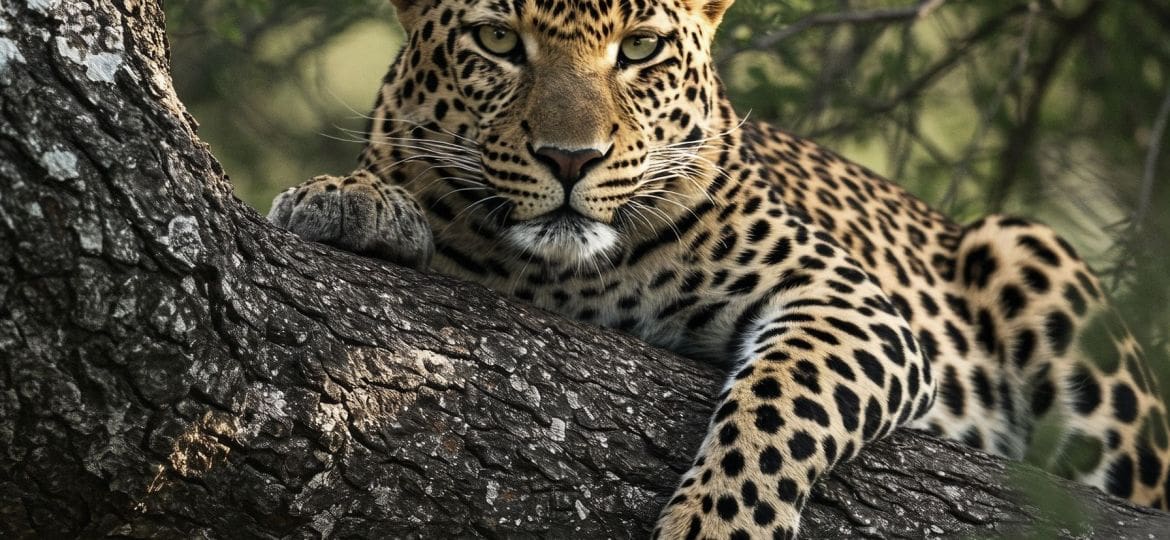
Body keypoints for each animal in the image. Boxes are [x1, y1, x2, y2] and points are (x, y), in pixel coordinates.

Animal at [265, 0, 1170, 536]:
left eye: (640, 49)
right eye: (496, 40)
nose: (570, 159)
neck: (560, 275)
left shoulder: (852, 305)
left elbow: (780, 405)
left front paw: (714, 526)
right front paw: (348, 200)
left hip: (1033, 261)